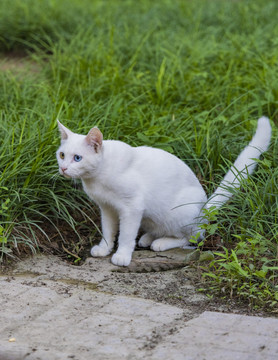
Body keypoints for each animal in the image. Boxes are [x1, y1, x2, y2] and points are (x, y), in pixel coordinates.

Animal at [56, 116, 272, 266]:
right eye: (62, 155)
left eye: (77, 158)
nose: (63, 168)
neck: (98, 177)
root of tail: (204, 209)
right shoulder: (107, 208)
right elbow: (108, 231)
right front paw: (105, 249)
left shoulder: (132, 207)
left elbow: (125, 234)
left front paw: (122, 255)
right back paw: (148, 238)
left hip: (182, 212)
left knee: (191, 238)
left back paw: (161, 243)